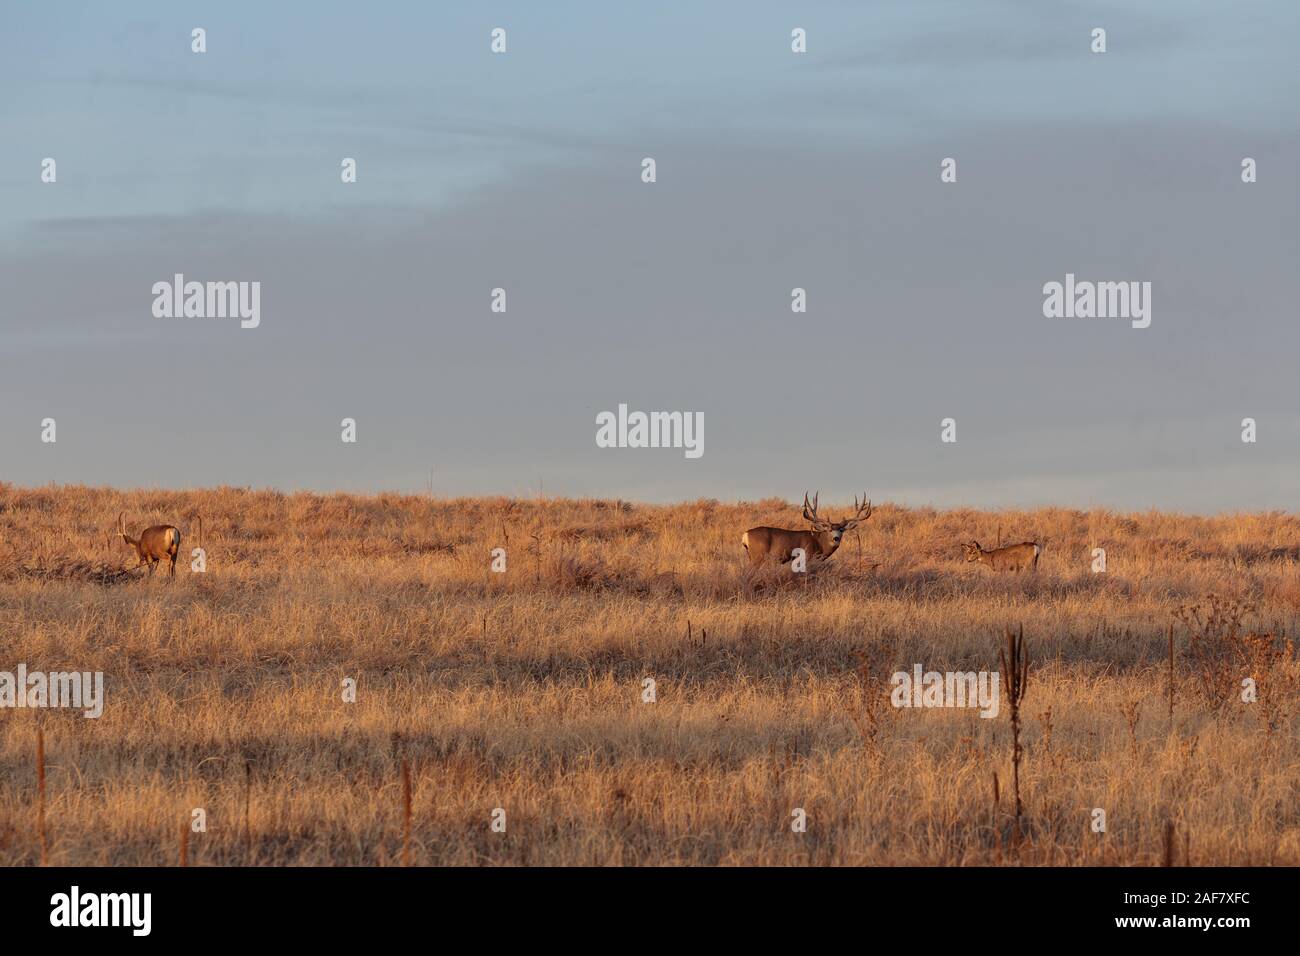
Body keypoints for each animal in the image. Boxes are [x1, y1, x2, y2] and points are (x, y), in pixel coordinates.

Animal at [742, 492, 872, 567]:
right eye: (829, 530)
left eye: (841, 530)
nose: (836, 538)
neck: (819, 542)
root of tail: (745, 534)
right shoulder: (807, 556)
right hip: (758, 555)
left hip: (751, 555)